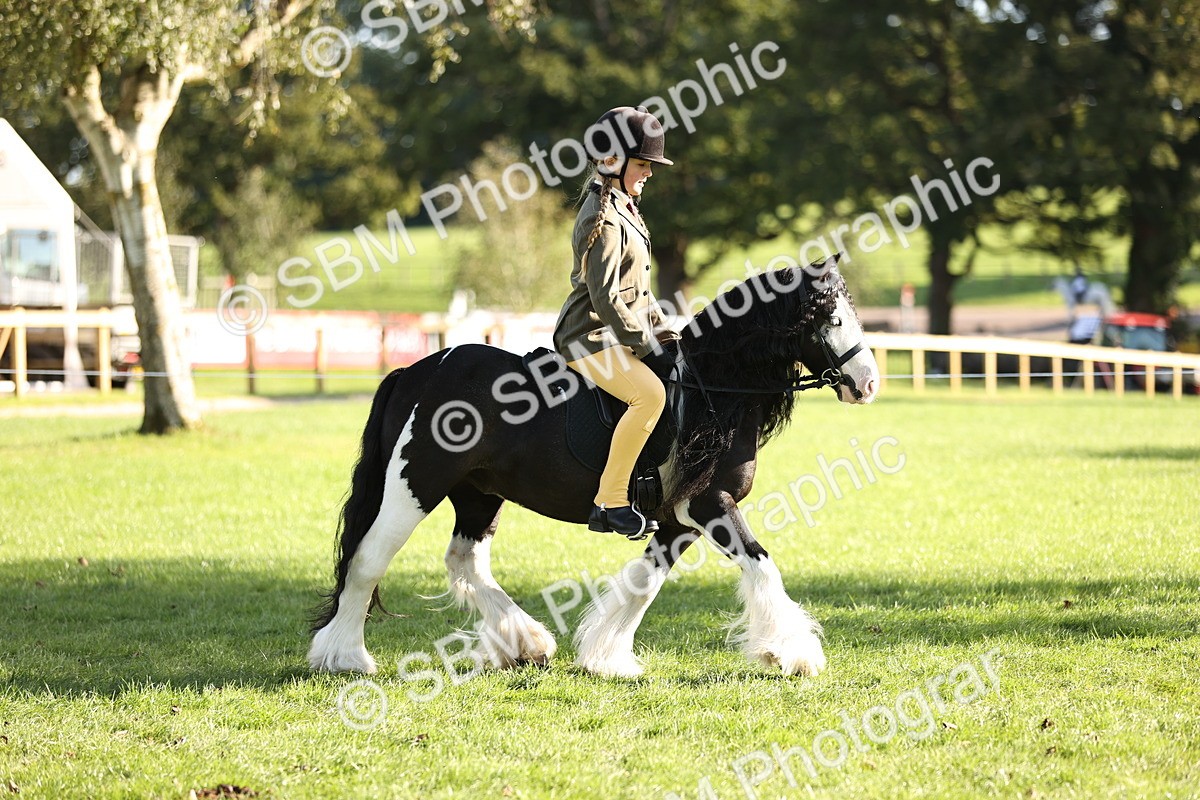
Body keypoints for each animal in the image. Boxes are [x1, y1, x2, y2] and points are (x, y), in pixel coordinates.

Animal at [308, 257, 880, 679]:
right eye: (831, 318)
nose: (869, 383)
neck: (710, 388)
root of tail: (416, 371)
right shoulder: (708, 505)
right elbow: (762, 564)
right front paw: (793, 653)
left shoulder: (676, 519)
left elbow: (644, 584)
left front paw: (607, 657)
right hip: (416, 484)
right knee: (368, 560)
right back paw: (345, 657)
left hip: (478, 493)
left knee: (464, 561)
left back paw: (527, 644)